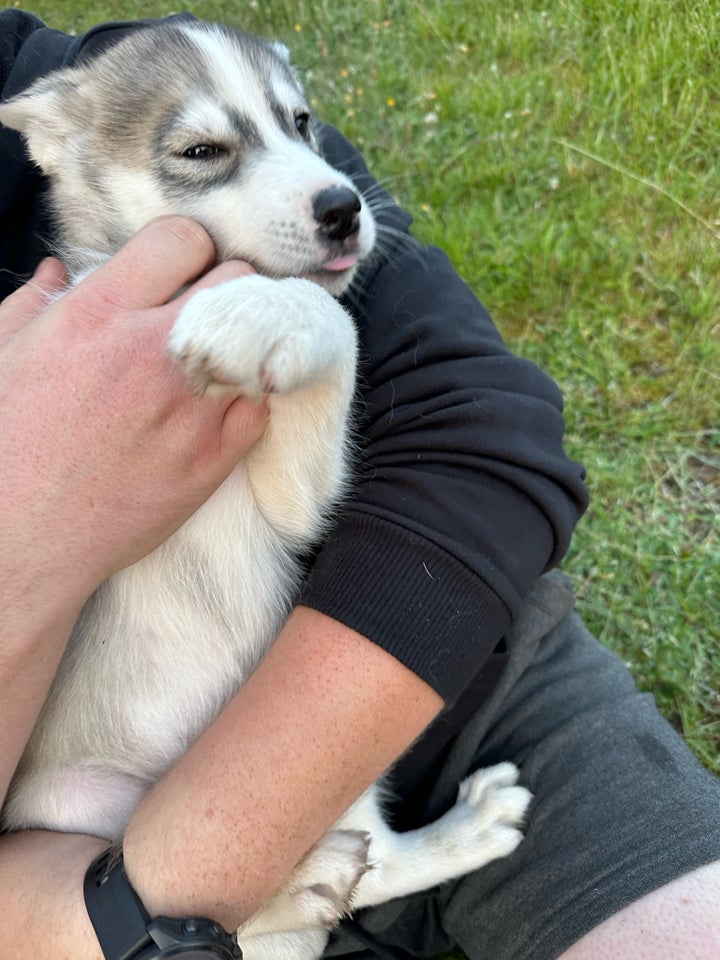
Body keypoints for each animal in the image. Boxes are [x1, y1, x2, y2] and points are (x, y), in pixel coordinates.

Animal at [0, 22, 528, 960]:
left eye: (302, 122)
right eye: (202, 151)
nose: (344, 206)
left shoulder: (291, 498)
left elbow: (335, 320)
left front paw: (254, 313)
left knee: (369, 866)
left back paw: (446, 836)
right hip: (80, 809)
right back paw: (316, 875)